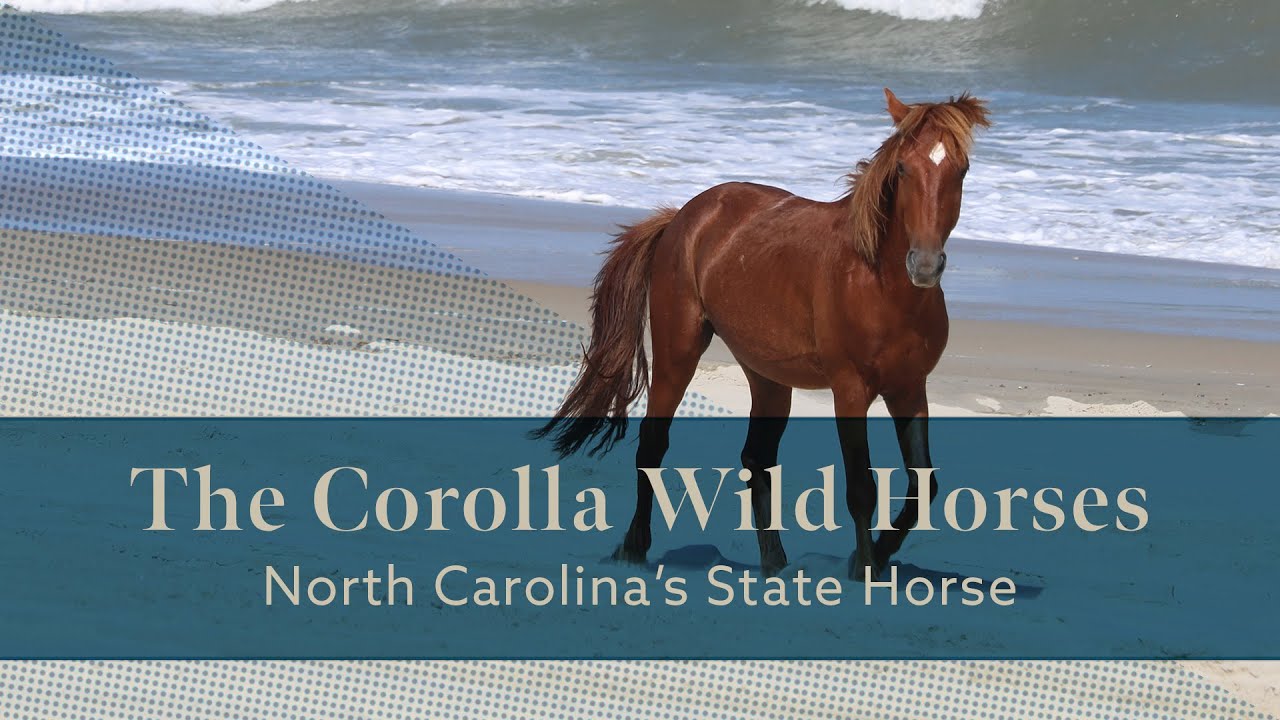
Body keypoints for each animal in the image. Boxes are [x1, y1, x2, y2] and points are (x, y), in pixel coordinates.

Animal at [535, 89, 990, 581]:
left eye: (961, 169)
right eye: (904, 168)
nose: (924, 265)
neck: (877, 283)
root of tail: (684, 216)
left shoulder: (909, 388)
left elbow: (923, 484)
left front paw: (875, 557)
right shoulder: (850, 391)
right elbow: (861, 488)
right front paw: (865, 566)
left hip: (767, 376)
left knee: (757, 459)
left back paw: (774, 562)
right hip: (679, 352)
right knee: (653, 446)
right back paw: (634, 549)